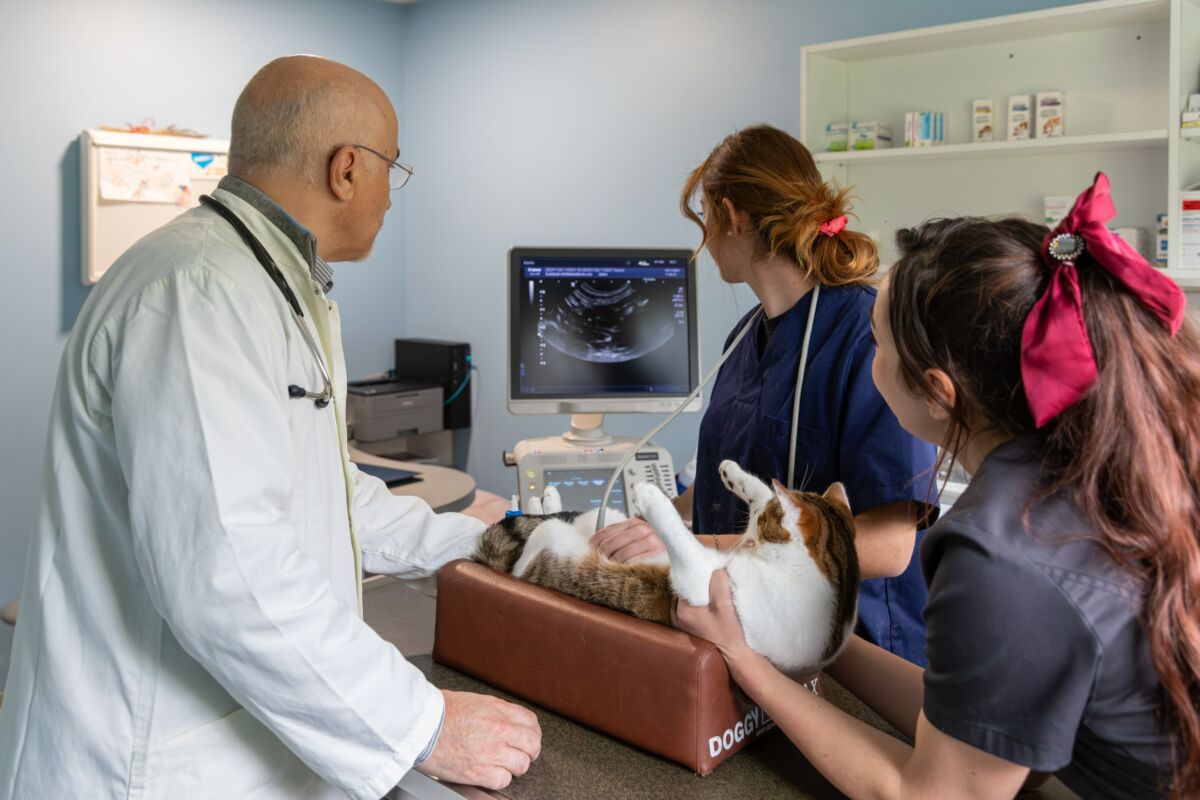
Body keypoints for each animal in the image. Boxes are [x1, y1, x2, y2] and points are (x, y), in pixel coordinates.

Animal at [472, 462, 859, 676]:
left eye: (763, 528)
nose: (748, 538)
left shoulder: (699, 581)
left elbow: (676, 528)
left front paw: (649, 491)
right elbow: (763, 493)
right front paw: (734, 473)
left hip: (548, 545)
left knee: (527, 554)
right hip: (598, 519)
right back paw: (543, 497)